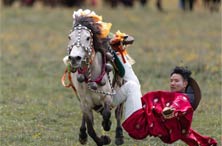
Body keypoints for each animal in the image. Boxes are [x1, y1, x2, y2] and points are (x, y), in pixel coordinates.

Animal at [63, 10, 127, 146]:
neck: (91, 74)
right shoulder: (85, 103)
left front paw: (107, 126)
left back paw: (119, 136)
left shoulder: (108, 97)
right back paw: (82, 135)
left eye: (88, 38)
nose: (74, 58)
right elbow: (91, 128)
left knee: (118, 113)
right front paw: (102, 140)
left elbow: (107, 113)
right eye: (69, 37)